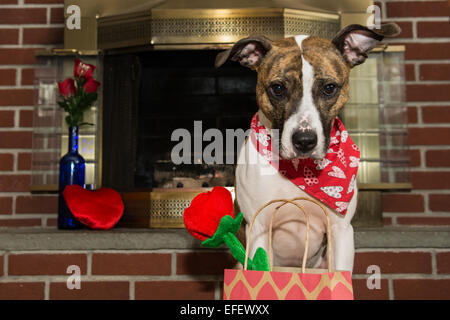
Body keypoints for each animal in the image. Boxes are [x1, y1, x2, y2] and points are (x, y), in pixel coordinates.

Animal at [215, 23, 400, 272]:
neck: (300, 172)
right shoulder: (259, 228)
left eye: (329, 87)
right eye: (278, 88)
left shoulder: (341, 232)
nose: (304, 141)